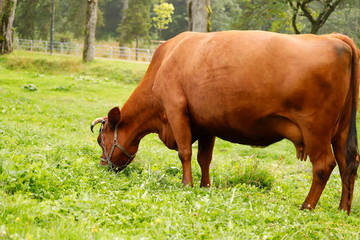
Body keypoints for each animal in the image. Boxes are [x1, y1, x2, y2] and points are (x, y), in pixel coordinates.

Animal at [91, 31, 358, 213]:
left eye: (100, 140)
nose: (103, 165)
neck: (164, 62)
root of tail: (333, 38)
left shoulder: (176, 110)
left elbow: (185, 152)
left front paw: (187, 184)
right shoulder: (205, 123)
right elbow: (204, 158)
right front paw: (205, 186)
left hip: (316, 130)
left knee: (323, 165)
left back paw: (307, 206)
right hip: (341, 131)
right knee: (348, 163)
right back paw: (343, 209)